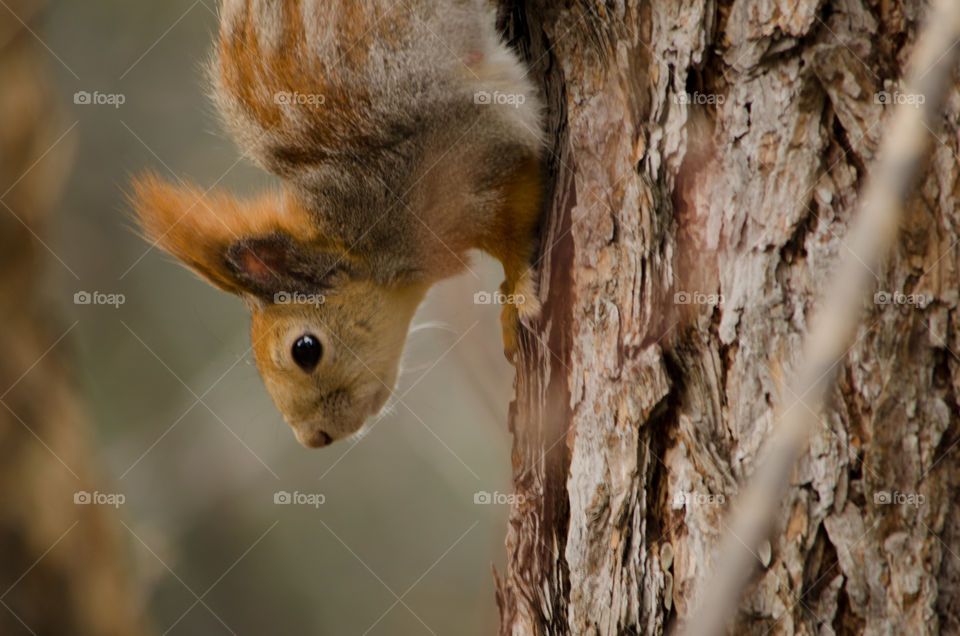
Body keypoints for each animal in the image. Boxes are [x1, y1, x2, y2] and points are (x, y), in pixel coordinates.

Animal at [131, 0, 544, 448]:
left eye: (305, 349)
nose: (314, 439)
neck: (357, 238)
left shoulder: (460, 151)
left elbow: (513, 224)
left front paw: (518, 291)